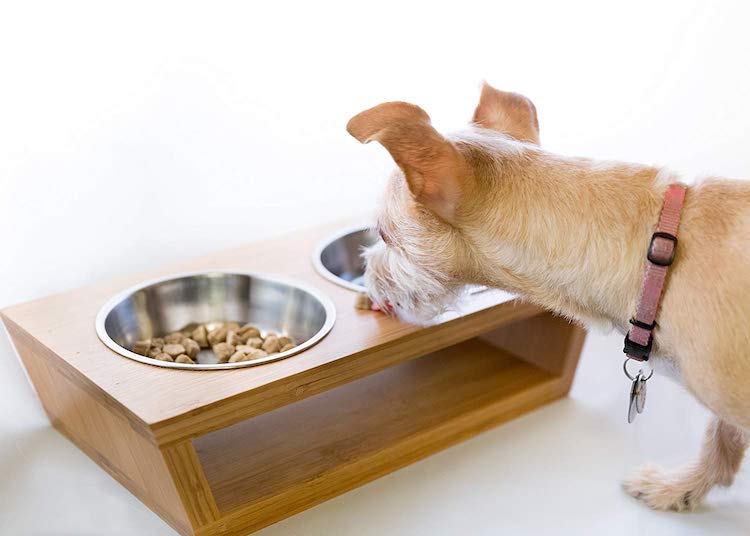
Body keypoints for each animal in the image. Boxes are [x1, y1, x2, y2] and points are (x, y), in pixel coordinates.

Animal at [348, 82, 750, 510]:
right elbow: (719, 439)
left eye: (384, 234)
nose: (366, 281)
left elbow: (719, 436)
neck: (655, 262)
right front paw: (679, 489)